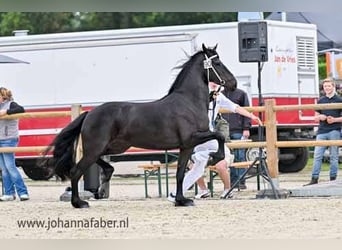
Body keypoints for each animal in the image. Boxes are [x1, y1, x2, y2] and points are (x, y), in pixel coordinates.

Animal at [41, 44, 236, 208]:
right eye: (217, 63)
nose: (234, 83)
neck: (188, 102)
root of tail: (90, 113)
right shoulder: (192, 139)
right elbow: (218, 136)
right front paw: (214, 157)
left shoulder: (186, 146)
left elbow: (180, 173)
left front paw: (181, 200)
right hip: (96, 148)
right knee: (76, 170)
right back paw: (79, 202)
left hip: (114, 147)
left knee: (100, 163)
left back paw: (104, 181)